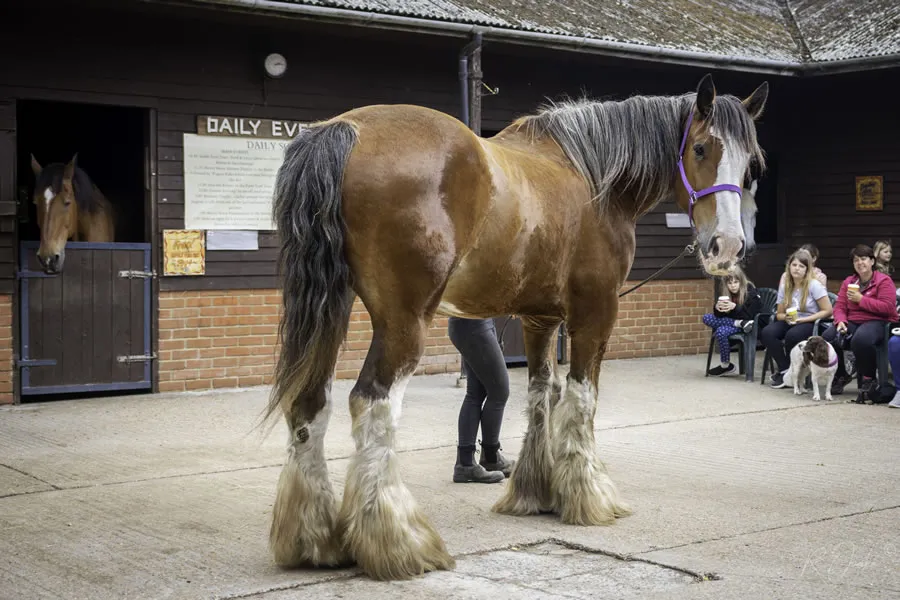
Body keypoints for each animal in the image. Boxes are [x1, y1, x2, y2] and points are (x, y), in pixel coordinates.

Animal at [263, 73, 769, 581]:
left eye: (752, 165)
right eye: (701, 149)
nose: (727, 246)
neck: (596, 180)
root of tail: (346, 129)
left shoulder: (540, 320)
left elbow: (542, 394)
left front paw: (537, 492)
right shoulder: (596, 313)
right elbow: (582, 398)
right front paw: (590, 498)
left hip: (333, 308)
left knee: (310, 402)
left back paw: (314, 541)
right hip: (403, 321)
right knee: (372, 403)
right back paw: (398, 542)